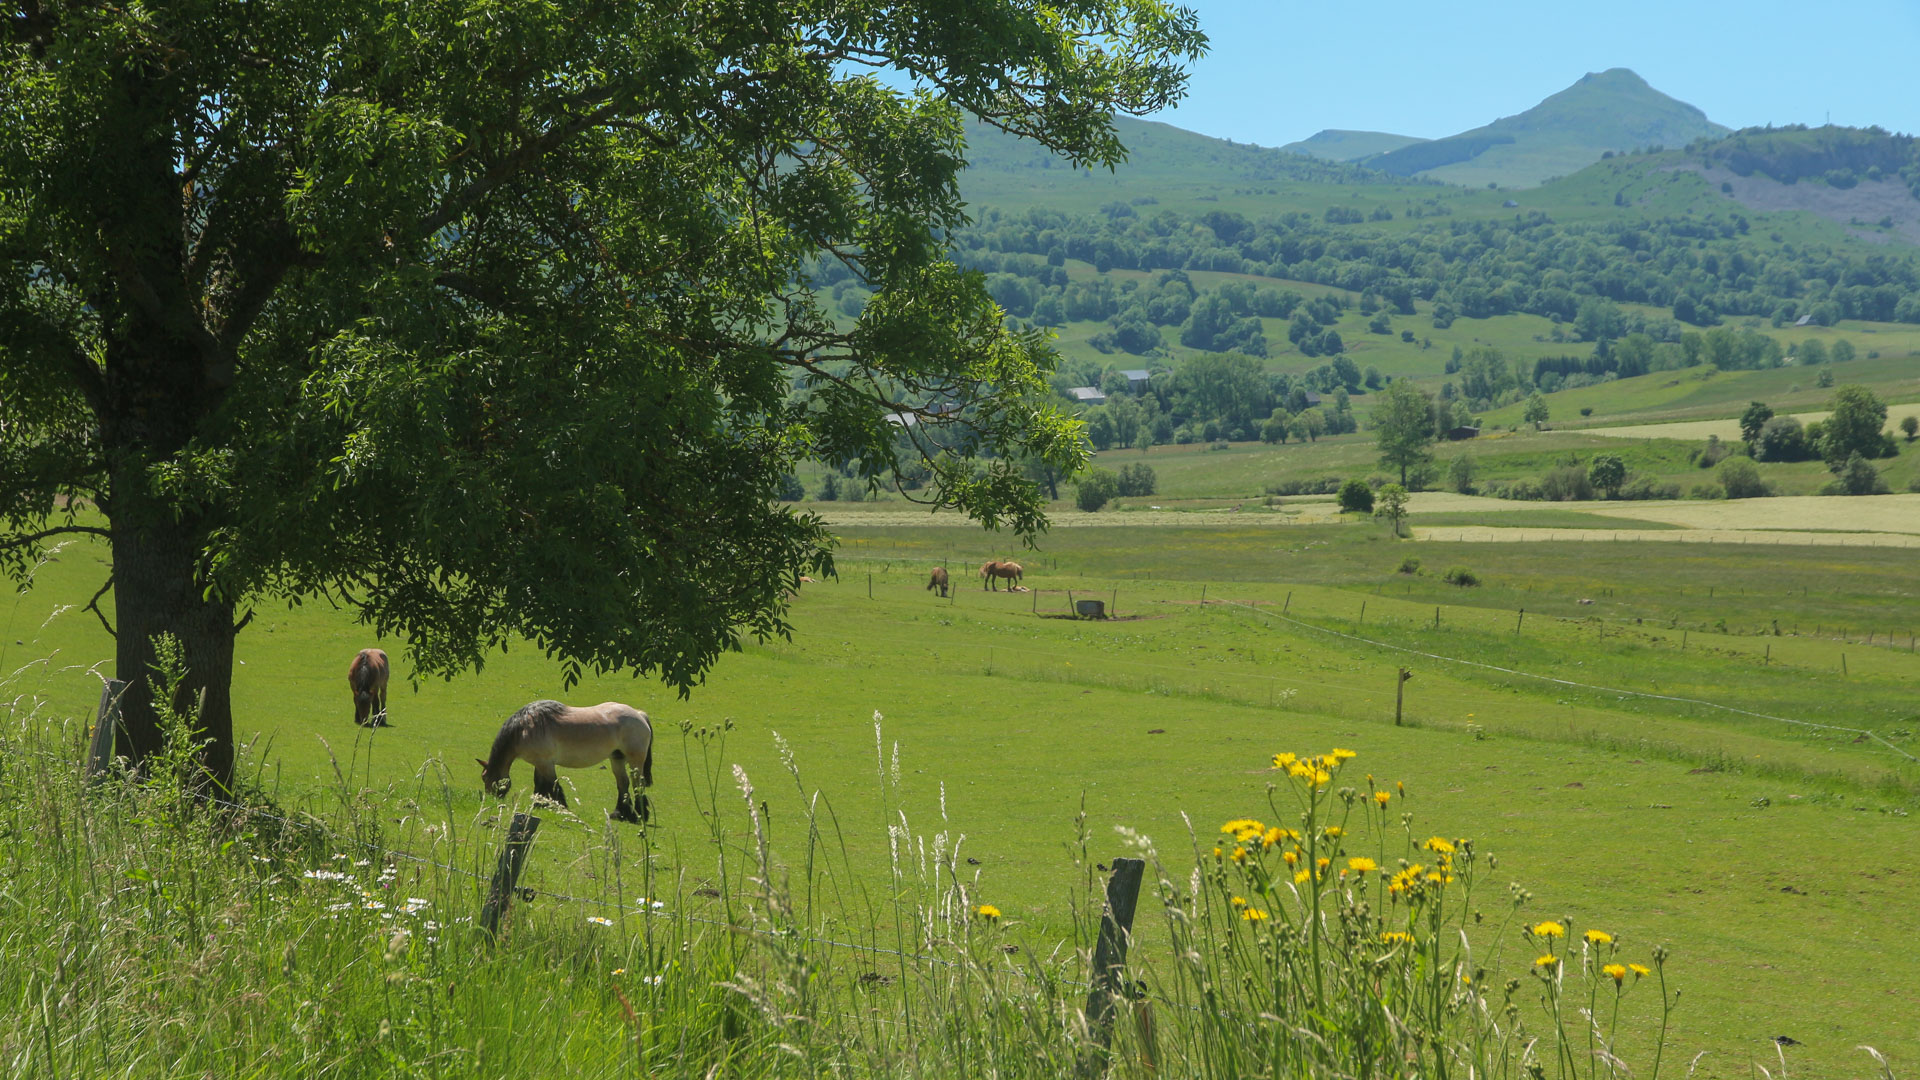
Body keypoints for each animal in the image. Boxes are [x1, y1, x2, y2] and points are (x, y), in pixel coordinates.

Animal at [478, 691, 652, 818]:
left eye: (485, 778)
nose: (492, 800)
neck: (524, 728)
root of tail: (639, 714)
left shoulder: (546, 763)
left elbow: (552, 785)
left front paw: (561, 807)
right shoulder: (540, 763)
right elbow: (540, 784)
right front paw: (539, 804)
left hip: (635, 761)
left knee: (638, 784)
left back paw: (641, 814)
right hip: (617, 759)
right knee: (623, 783)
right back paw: (620, 813)